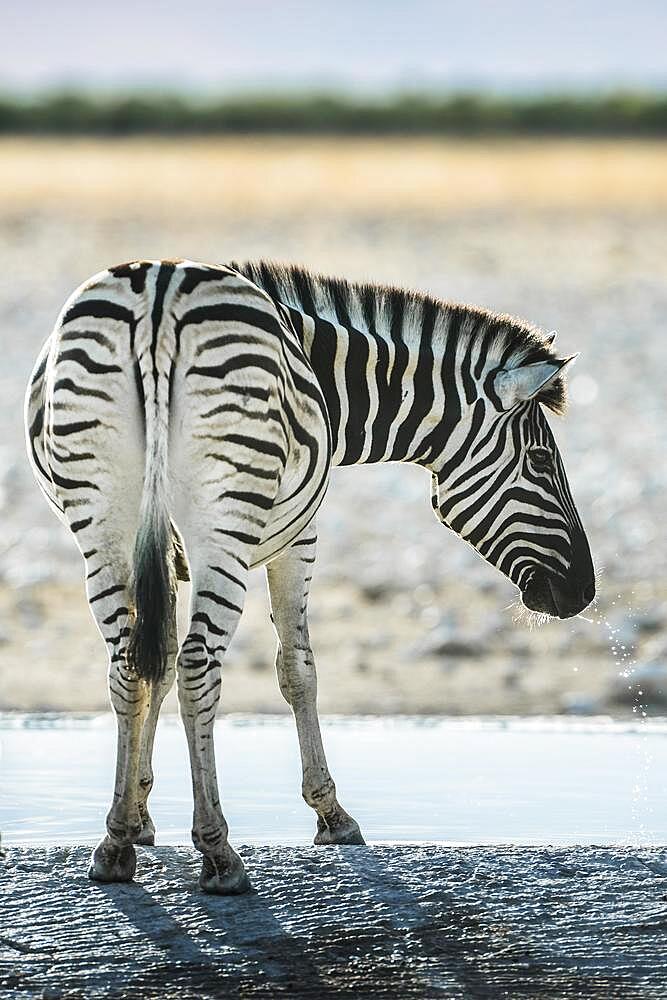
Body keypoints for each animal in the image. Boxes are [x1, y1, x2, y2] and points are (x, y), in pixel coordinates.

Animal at [24, 256, 596, 892]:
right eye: (541, 461)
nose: (584, 591)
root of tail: (158, 291)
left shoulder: (164, 553)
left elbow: (158, 665)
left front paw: (138, 817)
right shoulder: (300, 536)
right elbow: (297, 669)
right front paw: (332, 815)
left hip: (103, 519)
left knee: (130, 662)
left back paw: (114, 847)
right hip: (225, 522)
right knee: (198, 665)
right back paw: (219, 853)